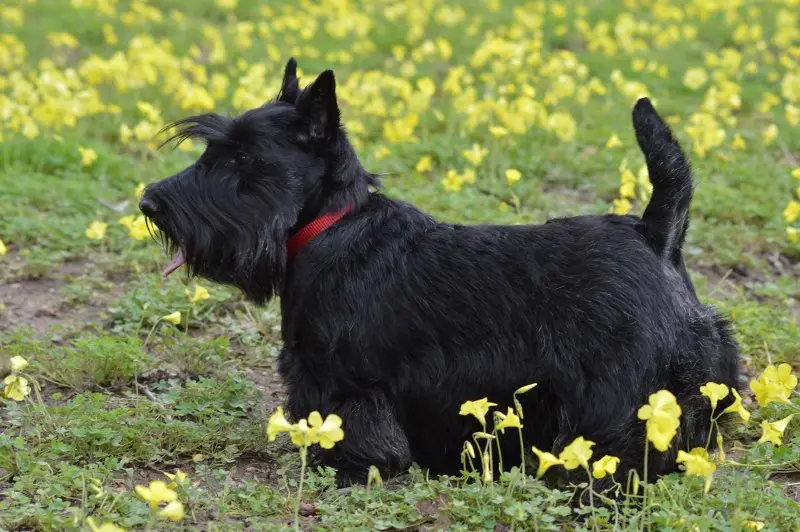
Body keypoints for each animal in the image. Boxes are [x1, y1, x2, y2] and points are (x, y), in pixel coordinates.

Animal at [141, 58, 740, 486]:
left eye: (243, 159)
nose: (149, 203)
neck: (332, 224)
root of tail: (653, 233)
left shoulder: (344, 382)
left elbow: (355, 428)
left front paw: (351, 469)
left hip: (621, 390)